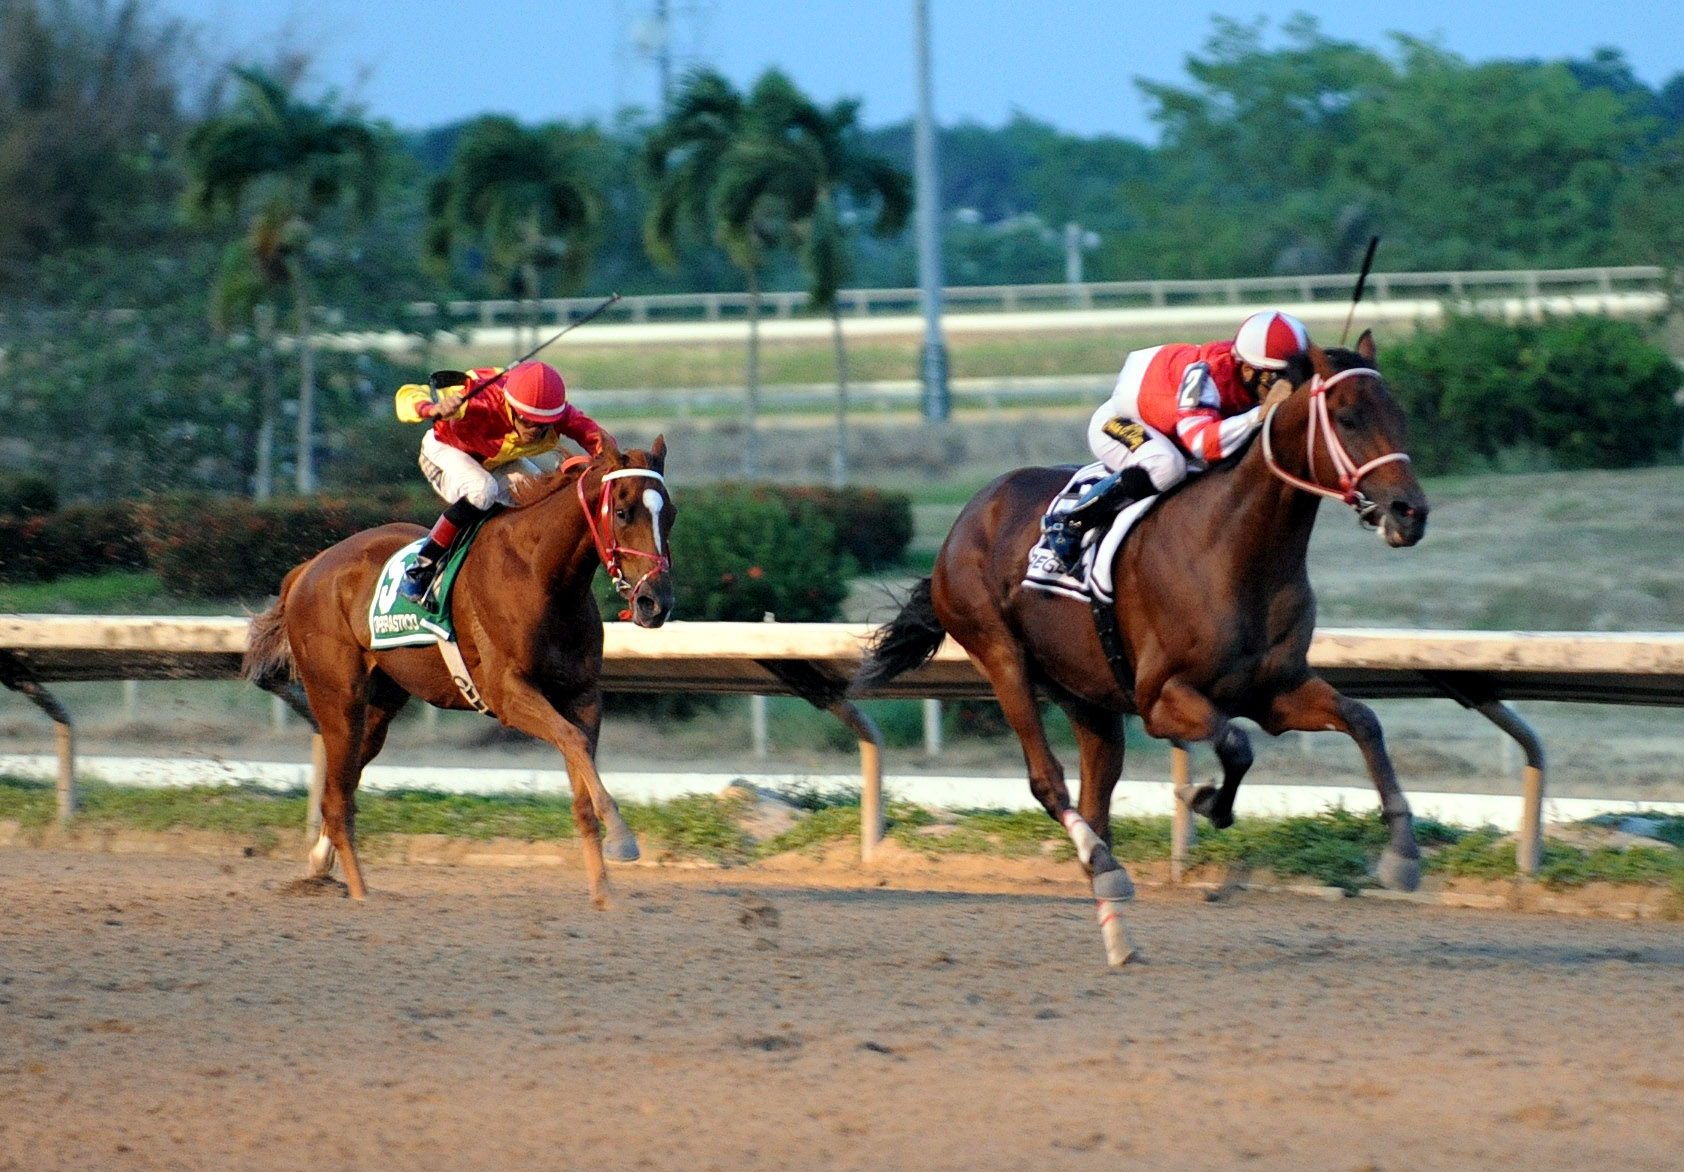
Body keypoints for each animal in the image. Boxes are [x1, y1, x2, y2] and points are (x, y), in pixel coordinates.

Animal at [242, 436, 676, 908]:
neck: (543, 575)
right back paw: (359, 893)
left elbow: (580, 769)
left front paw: (604, 891)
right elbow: (572, 740)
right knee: (337, 799)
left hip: (378, 705)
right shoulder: (508, 694)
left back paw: (327, 864)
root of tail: (308, 568)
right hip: (338, 698)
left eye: (669, 513)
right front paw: (623, 839)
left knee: (343, 786)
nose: (656, 602)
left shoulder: (582, 693)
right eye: (623, 511)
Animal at [851, 334, 1429, 964]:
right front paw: (1206, 800)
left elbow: (1363, 720)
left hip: (1089, 698)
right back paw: (1103, 866)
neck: (1238, 547)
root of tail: (970, 514)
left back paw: (1116, 927)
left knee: (1096, 799)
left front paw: (1402, 854)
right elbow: (1236, 744)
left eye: (1400, 413)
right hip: (1000, 654)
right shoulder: (1160, 698)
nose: (1411, 513)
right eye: (1347, 417)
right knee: (1047, 779)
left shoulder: (1275, 690)